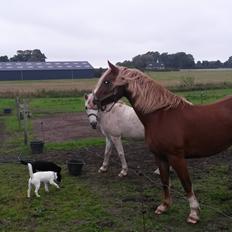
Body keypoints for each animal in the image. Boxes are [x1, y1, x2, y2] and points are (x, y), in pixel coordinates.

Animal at [93, 61, 232, 223]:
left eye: (107, 82)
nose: (94, 101)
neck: (160, 116)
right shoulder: (160, 156)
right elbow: (165, 181)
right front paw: (164, 206)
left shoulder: (176, 157)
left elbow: (186, 183)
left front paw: (193, 213)